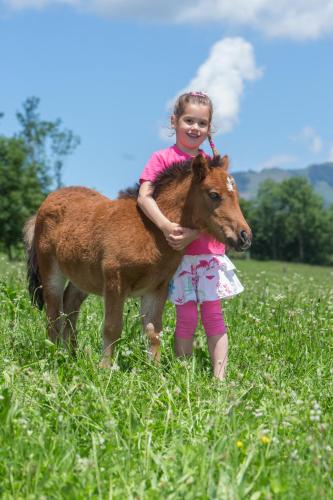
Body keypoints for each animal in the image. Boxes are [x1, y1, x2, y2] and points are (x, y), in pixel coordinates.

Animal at [24, 154, 252, 366]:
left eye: (236, 195)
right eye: (214, 195)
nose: (245, 236)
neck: (151, 231)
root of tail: (45, 203)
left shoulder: (157, 288)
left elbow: (153, 331)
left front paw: (155, 370)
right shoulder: (115, 281)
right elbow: (112, 327)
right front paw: (105, 368)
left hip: (83, 276)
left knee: (70, 305)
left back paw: (72, 355)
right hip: (51, 270)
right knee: (54, 313)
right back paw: (55, 355)